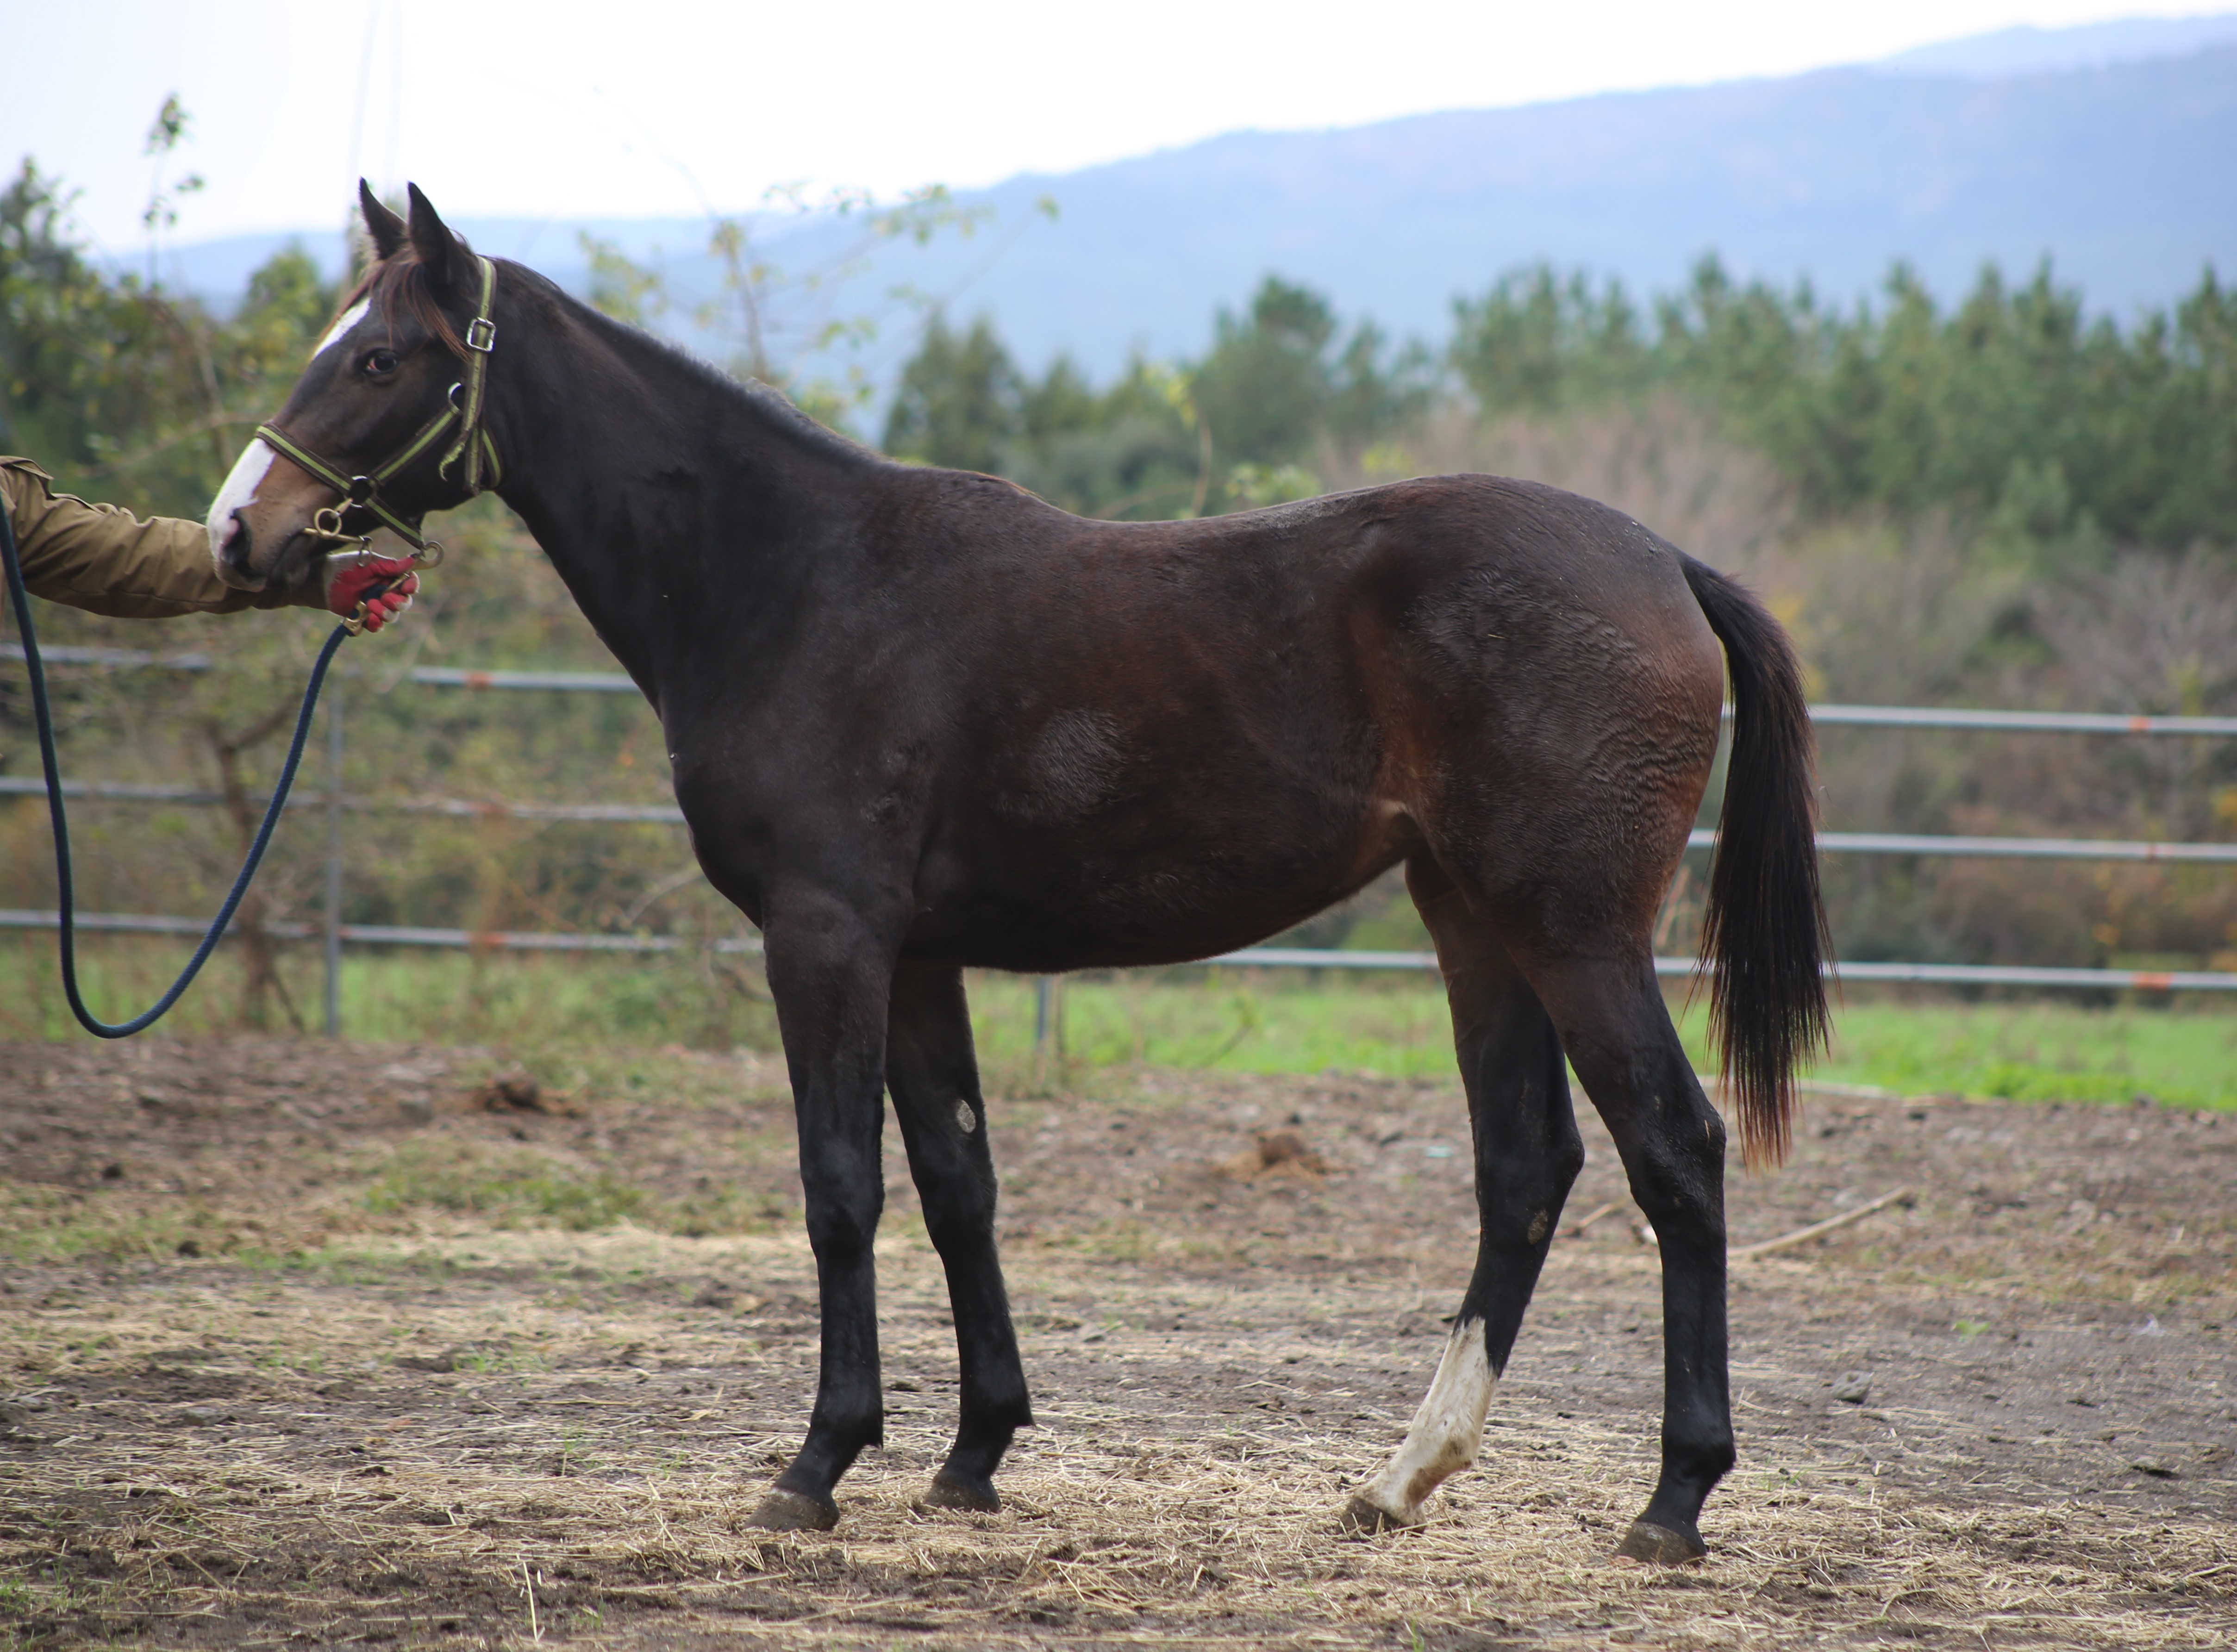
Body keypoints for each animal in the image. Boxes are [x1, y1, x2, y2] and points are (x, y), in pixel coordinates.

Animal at [210, 187, 1825, 1573]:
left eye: (377, 356)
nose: (241, 531)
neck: (796, 579)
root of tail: (1664, 563)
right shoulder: (918, 957)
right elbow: (957, 1183)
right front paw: (972, 1454)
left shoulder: (827, 938)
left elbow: (840, 1187)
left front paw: (815, 1468)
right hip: (1473, 923)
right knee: (1524, 1171)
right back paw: (1399, 1478)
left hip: (1573, 933)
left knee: (1673, 1151)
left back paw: (1672, 1500)